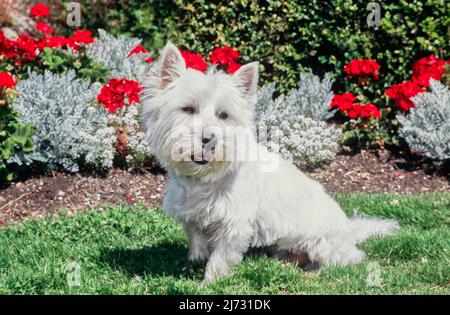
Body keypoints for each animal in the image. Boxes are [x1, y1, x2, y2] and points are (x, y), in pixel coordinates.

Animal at [142, 42, 400, 284]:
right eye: (188, 108)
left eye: (224, 115)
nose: (208, 139)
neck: (203, 179)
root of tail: (349, 230)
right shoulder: (189, 212)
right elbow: (196, 238)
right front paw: (195, 260)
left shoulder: (235, 224)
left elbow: (220, 257)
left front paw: (209, 282)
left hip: (323, 242)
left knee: (343, 260)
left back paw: (314, 272)